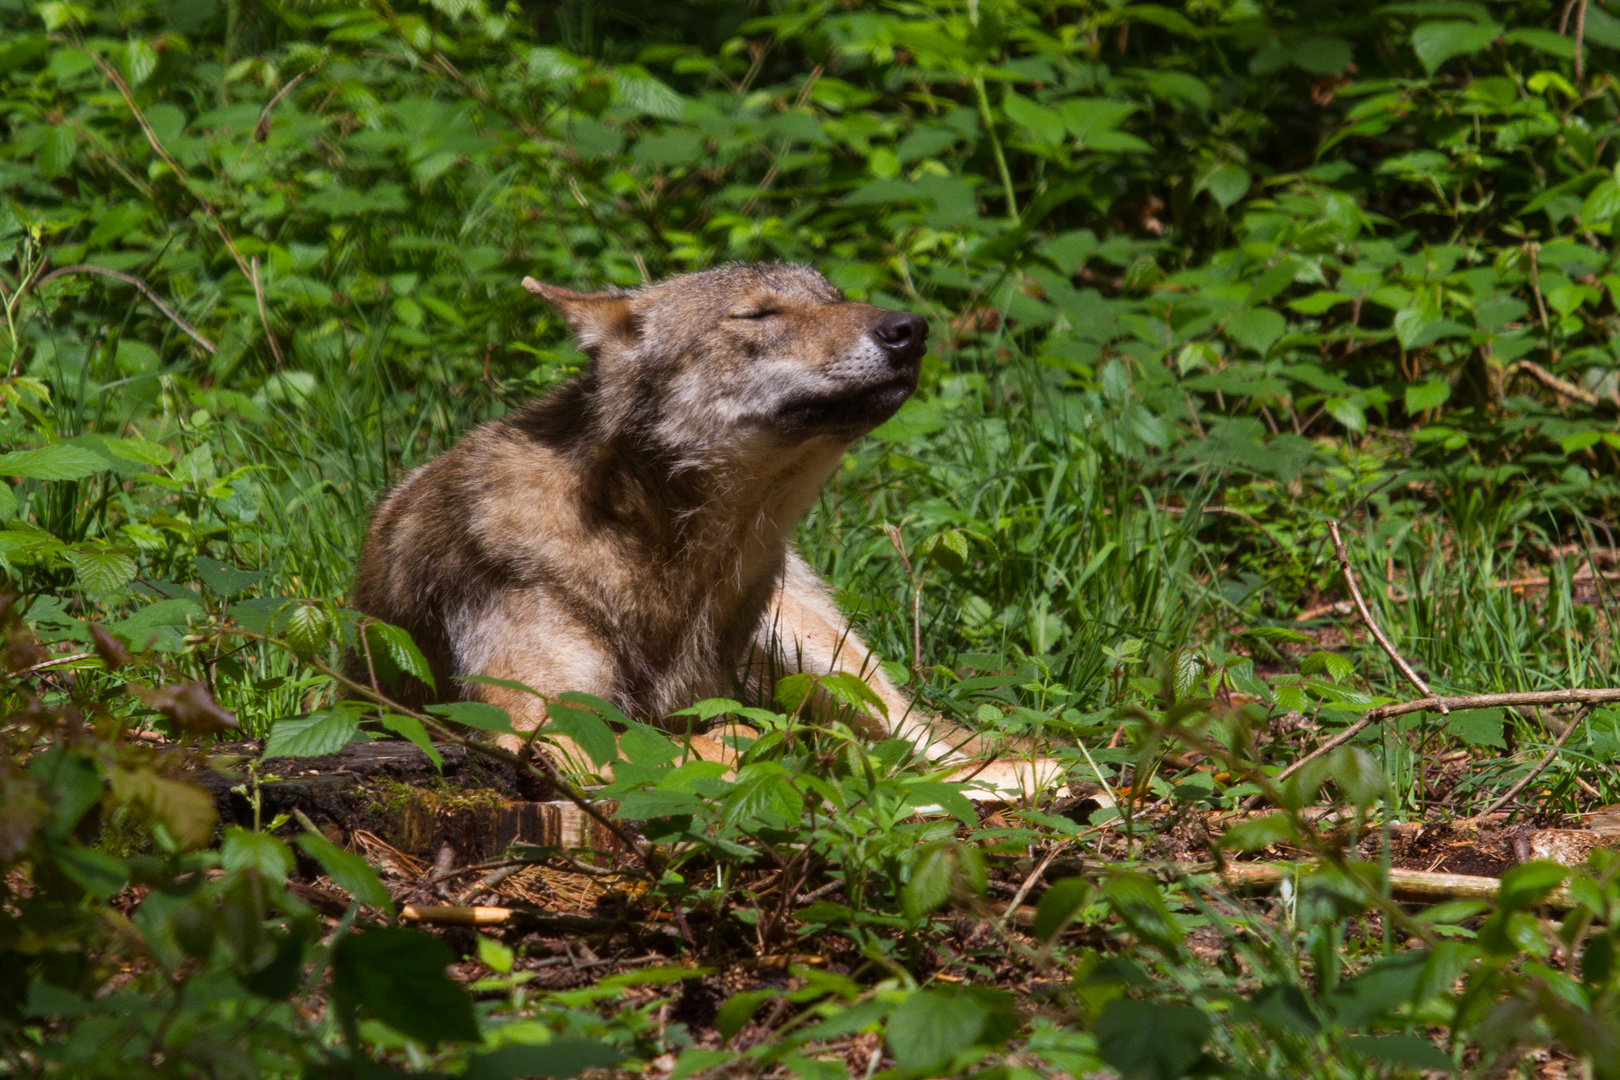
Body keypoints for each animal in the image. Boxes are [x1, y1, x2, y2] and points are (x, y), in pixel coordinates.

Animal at [354, 262, 1062, 803]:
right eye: (758, 315)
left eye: (834, 298)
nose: (909, 329)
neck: (660, 555)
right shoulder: (538, 726)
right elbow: (696, 746)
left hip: (817, 647)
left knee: (939, 746)